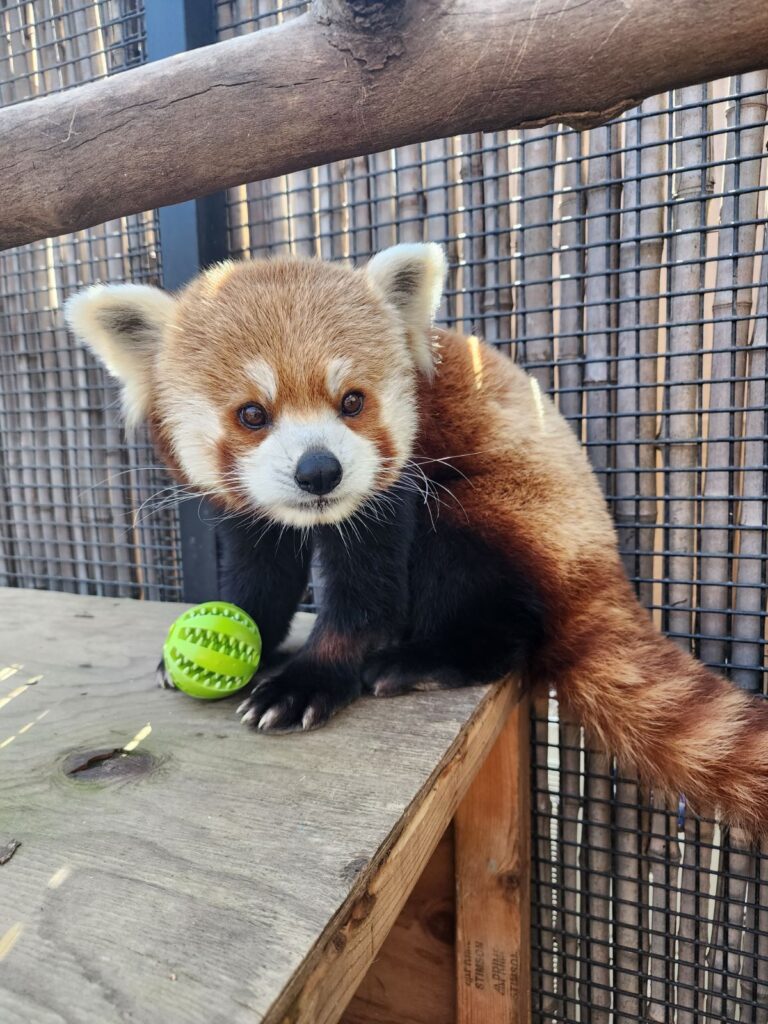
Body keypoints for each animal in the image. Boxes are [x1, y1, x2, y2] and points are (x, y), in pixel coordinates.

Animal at [64, 245, 768, 831]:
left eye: (352, 401)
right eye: (252, 414)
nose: (319, 471)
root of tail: (602, 557)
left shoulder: (397, 490)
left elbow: (366, 594)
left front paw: (310, 681)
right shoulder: (250, 512)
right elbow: (260, 572)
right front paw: (254, 639)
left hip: (502, 514)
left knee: (493, 608)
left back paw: (418, 660)